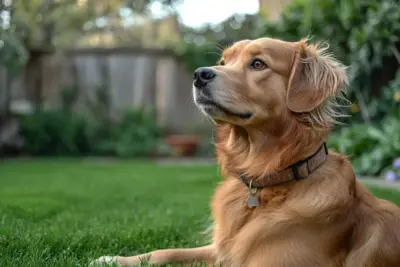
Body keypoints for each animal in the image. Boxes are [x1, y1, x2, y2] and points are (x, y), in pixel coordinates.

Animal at [92, 37, 400, 267]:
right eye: (223, 62)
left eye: (258, 63)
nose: (199, 75)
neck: (268, 182)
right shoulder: (221, 249)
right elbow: (166, 251)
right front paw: (114, 258)